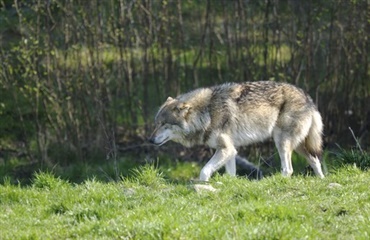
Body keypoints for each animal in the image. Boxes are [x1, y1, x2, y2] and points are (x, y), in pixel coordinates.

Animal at [149, 80, 326, 180]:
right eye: (156, 124)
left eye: (164, 124)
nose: (150, 140)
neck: (207, 112)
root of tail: (308, 98)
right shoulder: (231, 150)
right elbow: (231, 174)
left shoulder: (225, 149)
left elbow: (204, 171)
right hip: (298, 145)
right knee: (315, 160)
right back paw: (322, 181)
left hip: (281, 142)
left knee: (288, 170)